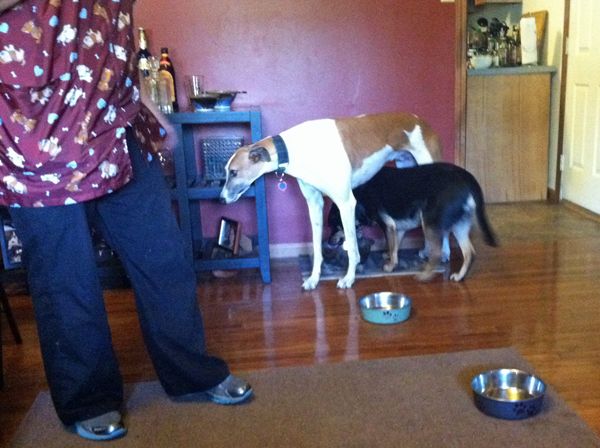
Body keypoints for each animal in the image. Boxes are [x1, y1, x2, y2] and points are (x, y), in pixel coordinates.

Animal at [220, 112, 440, 290]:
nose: (221, 199)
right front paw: (313, 279)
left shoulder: (346, 204)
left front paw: (349, 278)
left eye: (234, 172)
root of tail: (419, 120)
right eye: (226, 171)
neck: (296, 148)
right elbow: (317, 248)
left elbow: (352, 246)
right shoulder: (315, 204)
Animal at [332, 163, 496, 282]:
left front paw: (390, 266)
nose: (330, 240)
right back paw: (460, 276)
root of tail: (466, 178)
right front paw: (390, 257)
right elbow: (394, 246)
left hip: (429, 224)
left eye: (336, 226)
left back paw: (425, 276)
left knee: (437, 253)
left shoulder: (388, 225)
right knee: (469, 253)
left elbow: (392, 245)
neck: (360, 192)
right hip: (459, 226)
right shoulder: (398, 228)